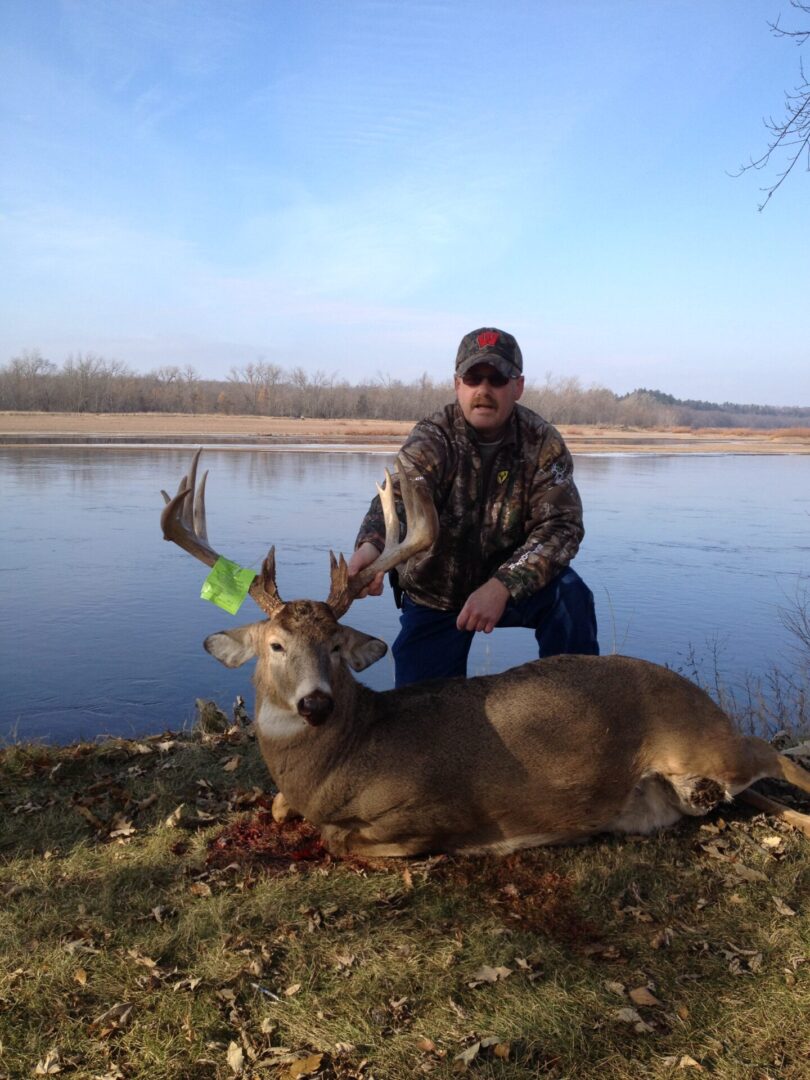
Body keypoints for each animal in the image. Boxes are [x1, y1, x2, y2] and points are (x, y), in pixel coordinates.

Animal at [161, 450, 810, 857]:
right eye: (275, 644)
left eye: (336, 647)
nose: (315, 704)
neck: (344, 758)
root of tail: (703, 699)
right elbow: (278, 809)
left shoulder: (429, 810)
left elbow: (340, 840)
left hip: (702, 739)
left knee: (780, 759)